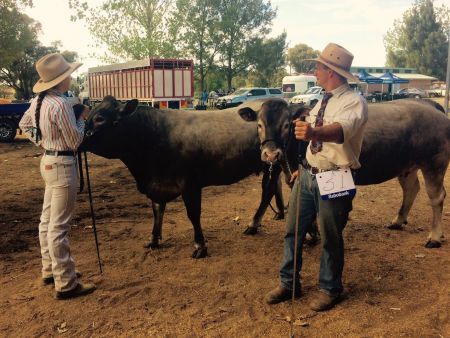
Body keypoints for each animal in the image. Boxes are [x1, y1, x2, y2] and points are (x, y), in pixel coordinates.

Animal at [81, 96, 286, 258]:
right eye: (89, 116)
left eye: (100, 118)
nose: (80, 142)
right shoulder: (158, 184)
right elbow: (157, 211)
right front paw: (153, 240)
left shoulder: (190, 184)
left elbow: (193, 215)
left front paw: (200, 247)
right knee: (274, 187)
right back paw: (278, 214)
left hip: (272, 162)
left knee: (267, 190)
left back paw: (253, 224)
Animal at [237, 97, 448, 248]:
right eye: (259, 125)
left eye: (287, 125)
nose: (271, 154)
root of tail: (429, 104)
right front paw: (311, 233)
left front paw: (311, 234)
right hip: (407, 166)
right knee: (411, 188)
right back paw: (398, 220)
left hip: (434, 162)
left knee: (436, 196)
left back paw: (435, 236)